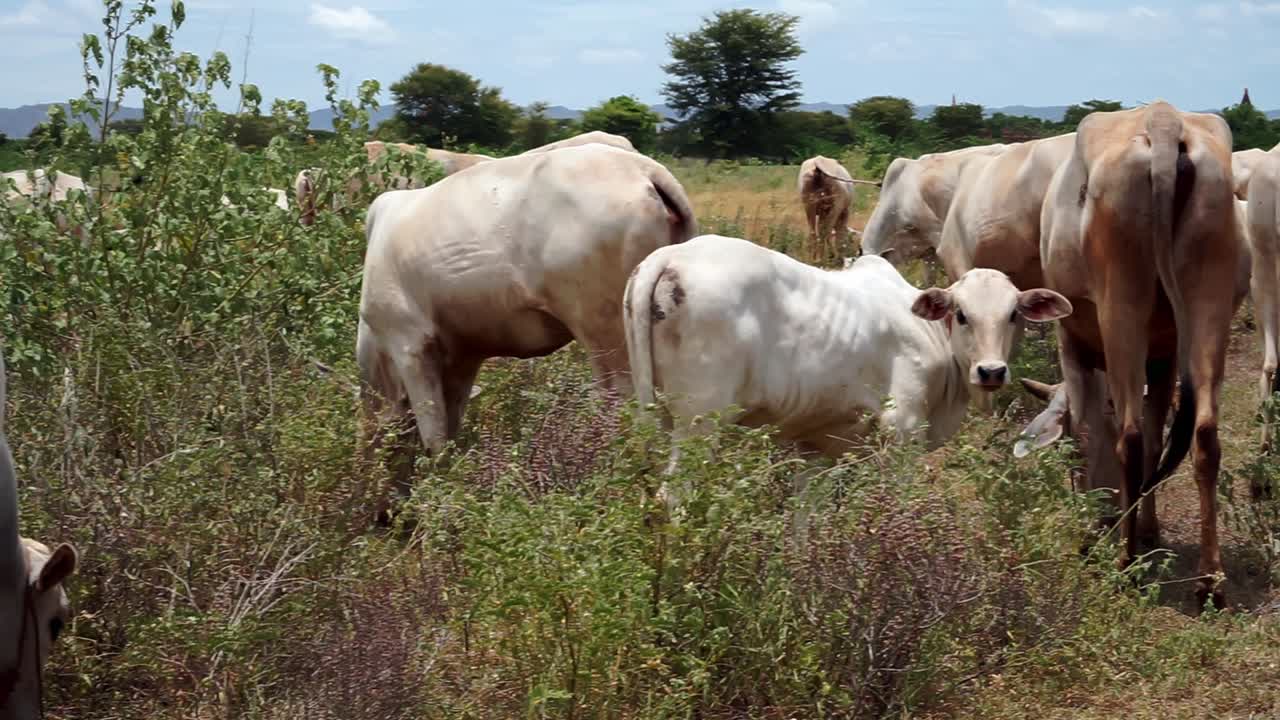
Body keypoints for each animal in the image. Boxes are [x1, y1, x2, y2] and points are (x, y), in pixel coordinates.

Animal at [357, 144, 696, 515]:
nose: (382, 514)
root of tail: (644, 169)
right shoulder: (462, 359)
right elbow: (450, 430)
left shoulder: (409, 345)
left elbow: (433, 439)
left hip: (610, 340)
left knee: (627, 413)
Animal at [623, 234, 1071, 497]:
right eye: (961, 314)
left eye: (1013, 314)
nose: (991, 372)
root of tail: (668, 256)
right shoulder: (903, 430)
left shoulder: (813, 445)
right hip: (700, 422)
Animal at [1024, 101, 1240, 609]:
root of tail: (1163, 121)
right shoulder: (1163, 359)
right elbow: (1159, 436)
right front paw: (1147, 527)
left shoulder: (1071, 344)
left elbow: (1089, 432)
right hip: (1209, 303)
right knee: (1203, 436)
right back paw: (1210, 579)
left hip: (1119, 306)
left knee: (1131, 437)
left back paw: (1125, 565)